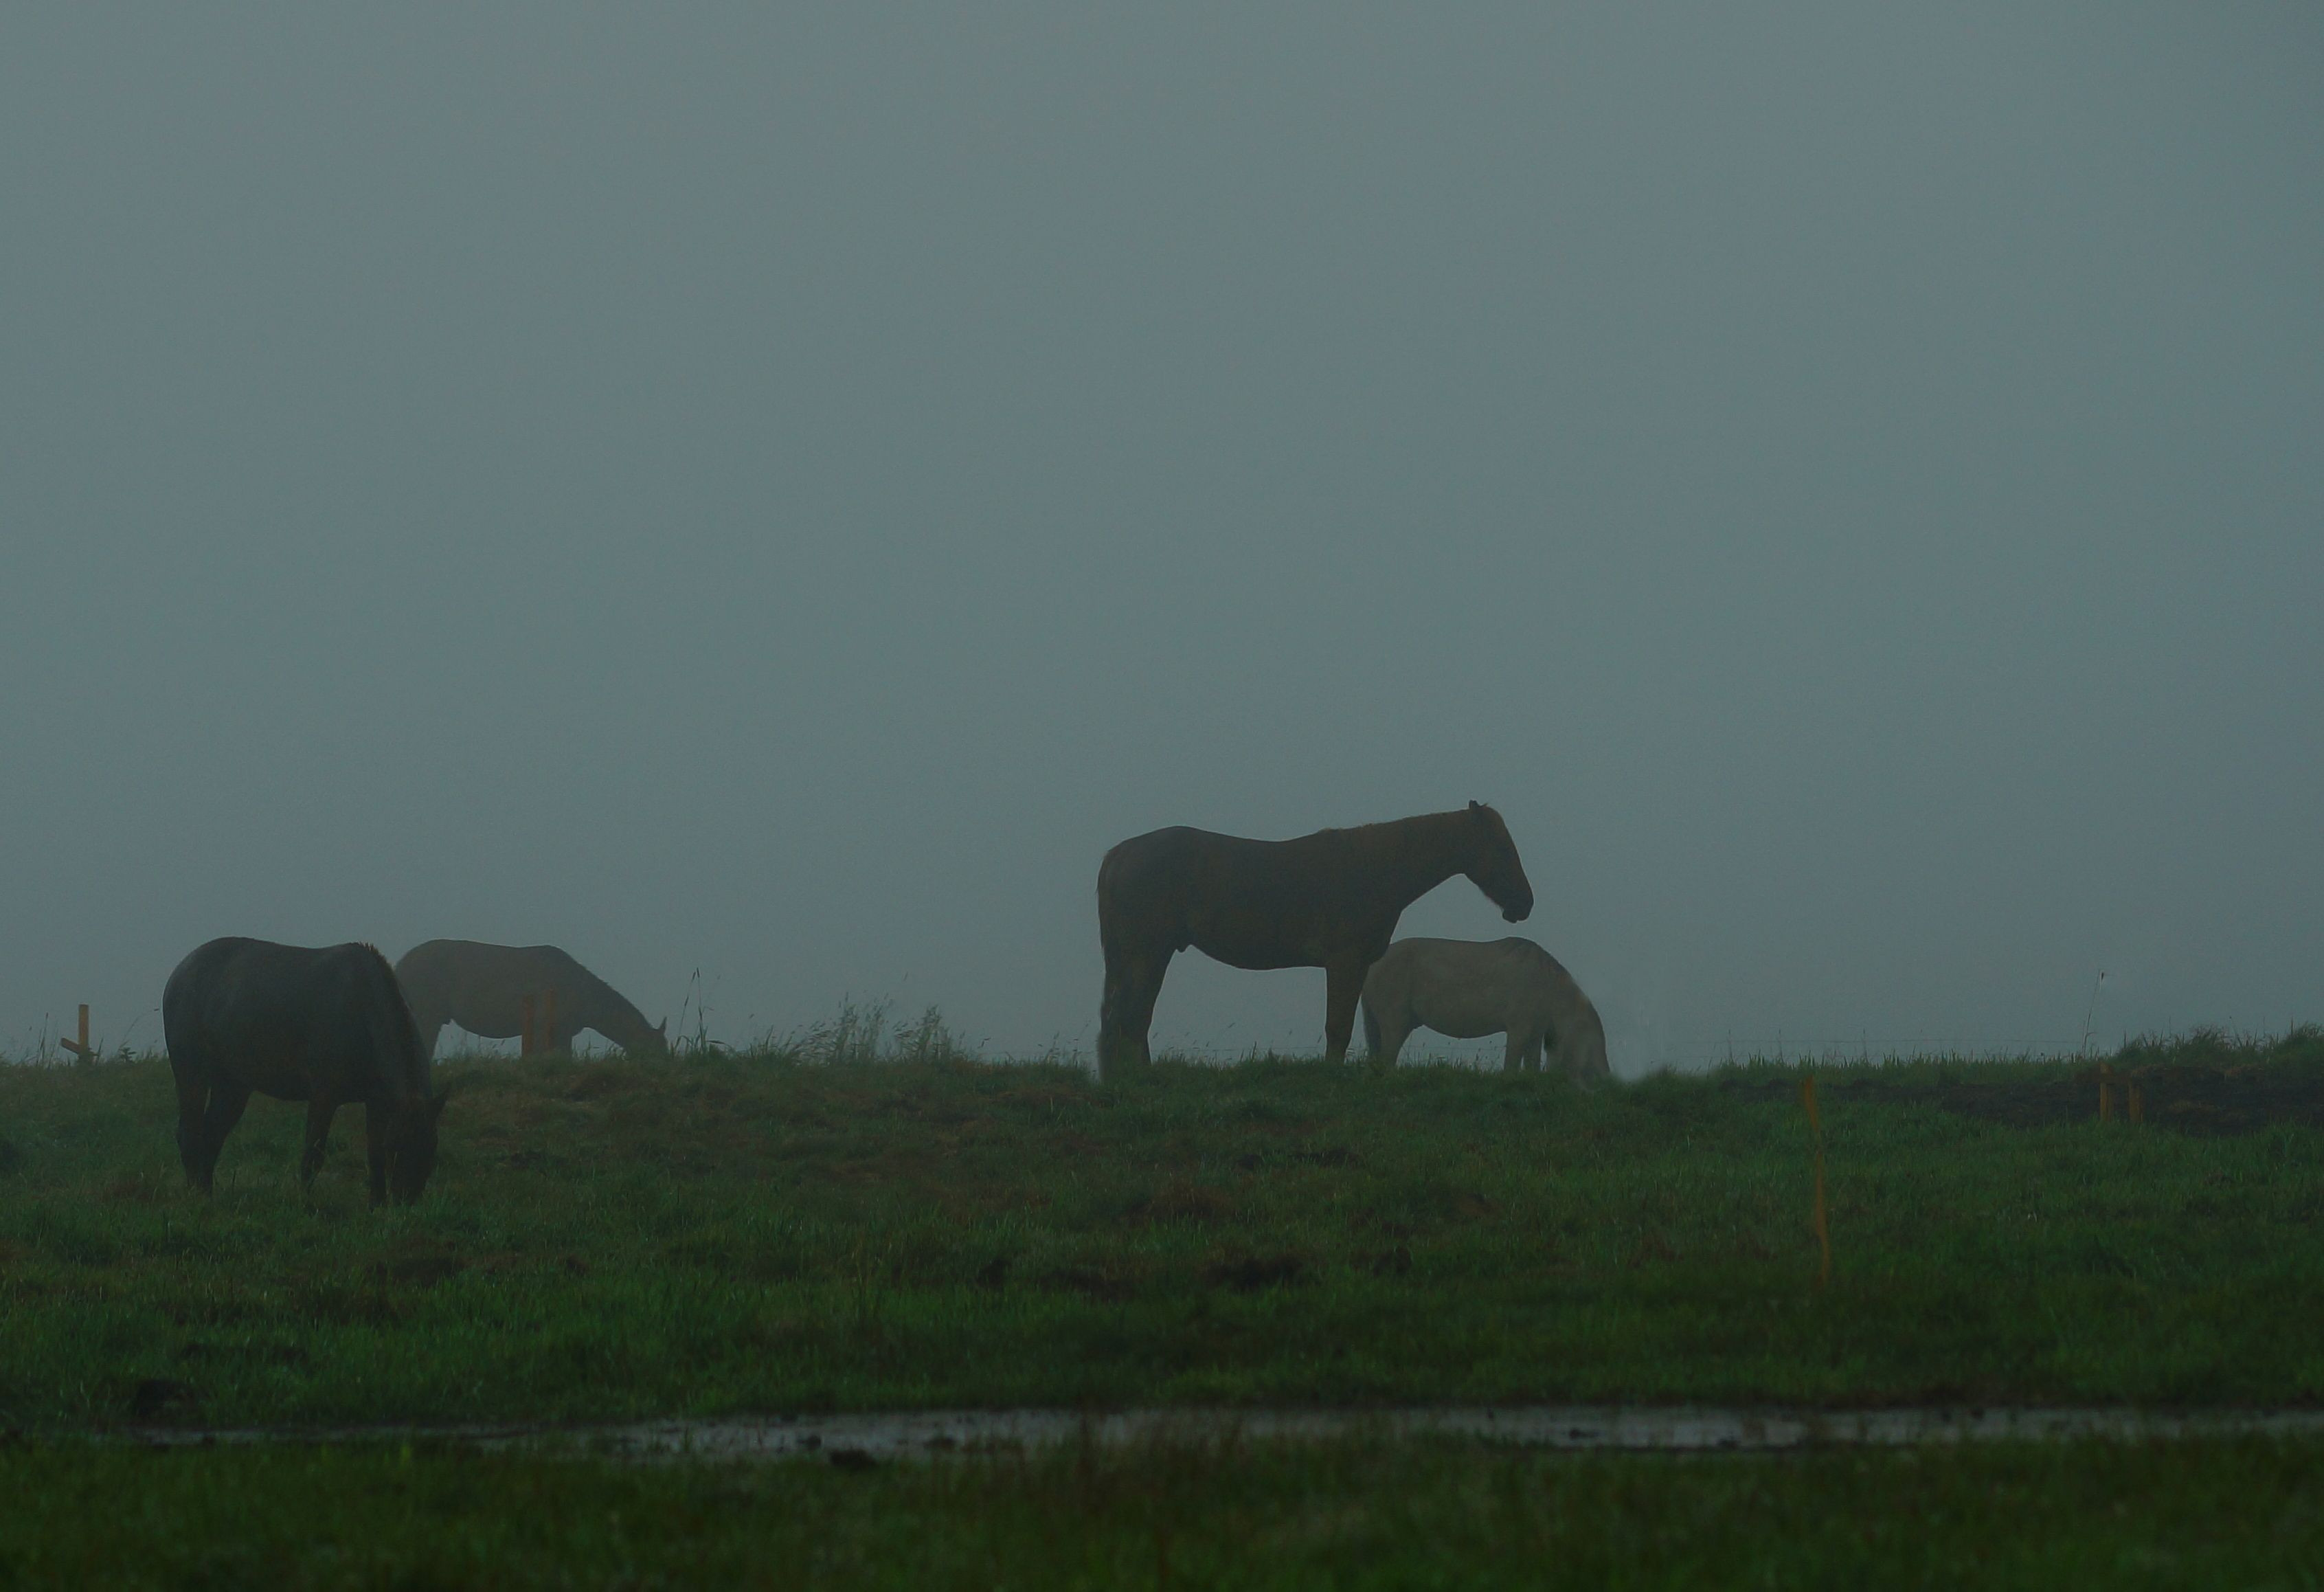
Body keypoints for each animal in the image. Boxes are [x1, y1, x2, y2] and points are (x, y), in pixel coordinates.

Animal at [162, 938, 447, 1205]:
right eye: (395, 1146)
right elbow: (313, 1154)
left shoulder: (378, 1103)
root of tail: (180, 972)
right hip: (193, 1076)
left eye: (431, 1144)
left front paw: (376, 1205)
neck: (362, 1010)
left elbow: (373, 1155)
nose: (405, 1199)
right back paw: (196, 1194)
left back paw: (206, 1193)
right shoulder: (323, 1096)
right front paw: (305, 1202)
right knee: (190, 1134)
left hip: (232, 1087)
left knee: (212, 1136)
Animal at [392, 941, 668, 1060]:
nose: (667, 1067)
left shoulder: (559, 1032)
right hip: (427, 1014)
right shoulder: (544, 1027)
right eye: (657, 1049)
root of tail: (400, 965)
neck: (582, 992)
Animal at [1095, 802, 1534, 1081]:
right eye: (1501, 847)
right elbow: (1338, 1027)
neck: (1373, 869)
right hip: (1148, 955)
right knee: (1132, 1017)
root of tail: (1120, 854)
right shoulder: (1345, 963)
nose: (1525, 904)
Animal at [1360, 936, 1610, 1081]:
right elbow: (1514, 1056)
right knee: (1388, 1051)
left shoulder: (1537, 1029)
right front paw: (1509, 1078)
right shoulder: (1520, 1021)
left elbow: (1532, 1059)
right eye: (1595, 1039)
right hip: (1394, 1011)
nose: (1607, 1076)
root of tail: (1370, 970)